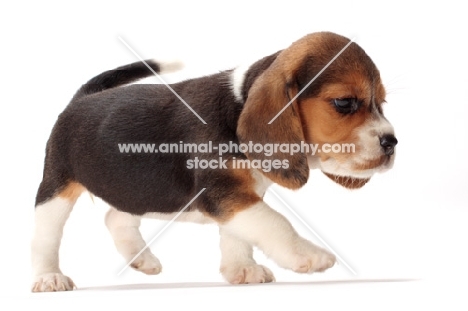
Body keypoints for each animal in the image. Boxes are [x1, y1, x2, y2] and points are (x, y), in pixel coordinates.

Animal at [32, 31, 398, 292]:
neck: (238, 105)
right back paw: (49, 278)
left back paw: (142, 259)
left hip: (134, 187)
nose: (392, 142)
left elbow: (239, 234)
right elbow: (274, 222)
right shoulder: (224, 193)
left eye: (381, 103)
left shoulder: (242, 195)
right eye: (344, 103)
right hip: (56, 186)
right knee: (46, 235)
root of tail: (82, 98)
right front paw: (307, 254)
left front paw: (242, 270)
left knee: (115, 216)